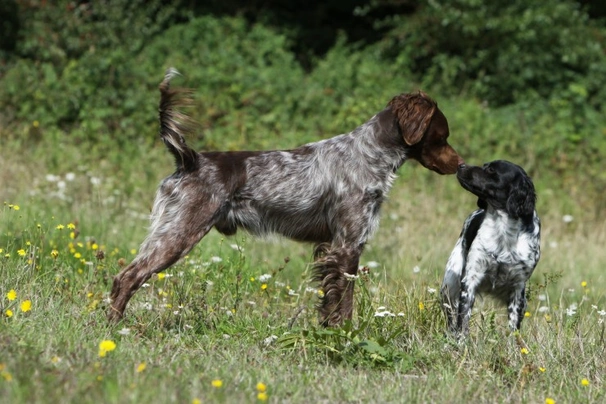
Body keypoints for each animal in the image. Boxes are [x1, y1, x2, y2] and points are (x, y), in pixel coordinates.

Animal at [108, 67, 466, 326]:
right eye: (442, 136)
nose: (461, 164)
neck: (370, 153)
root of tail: (189, 159)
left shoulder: (328, 248)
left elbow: (329, 301)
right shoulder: (347, 247)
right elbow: (345, 303)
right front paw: (346, 337)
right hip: (178, 234)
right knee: (127, 277)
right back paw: (114, 328)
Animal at [442, 159, 540, 336]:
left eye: (491, 170)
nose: (461, 165)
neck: (503, 230)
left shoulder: (518, 287)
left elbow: (514, 328)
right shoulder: (470, 279)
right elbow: (462, 323)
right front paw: (460, 342)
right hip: (449, 287)